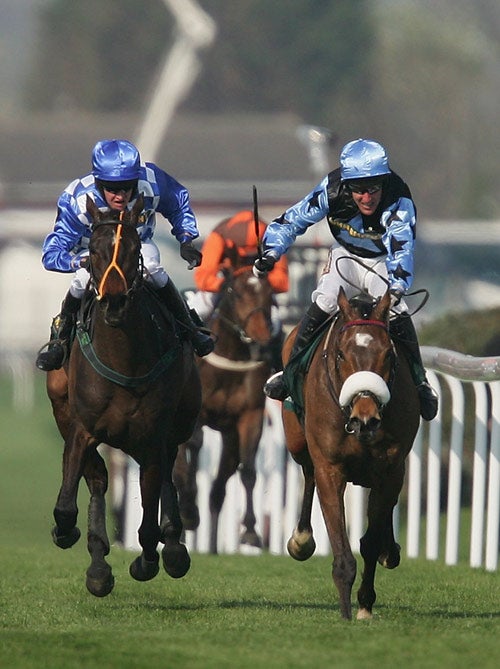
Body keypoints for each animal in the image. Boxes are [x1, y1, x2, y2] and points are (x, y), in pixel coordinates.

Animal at [45, 194, 201, 596]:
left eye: (132, 250)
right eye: (94, 251)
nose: (114, 302)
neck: (124, 360)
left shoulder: (151, 437)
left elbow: (147, 523)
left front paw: (150, 560)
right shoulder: (80, 430)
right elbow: (67, 505)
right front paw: (67, 534)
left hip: (176, 427)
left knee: (167, 476)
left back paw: (173, 548)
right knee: (99, 480)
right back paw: (98, 565)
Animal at [172, 264, 274, 552]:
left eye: (270, 294)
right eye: (235, 293)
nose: (262, 338)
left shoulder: (251, 415)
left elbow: (248, 470)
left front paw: (250, 530)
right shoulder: (196, 415)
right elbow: (191, 454)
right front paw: (188, 510)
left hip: (229, 439)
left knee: (218, 488)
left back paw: (212, 545)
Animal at [284, 284, 420, 620]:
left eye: (388, 354)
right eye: (341, 354)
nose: (365, 419)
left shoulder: (390, 469)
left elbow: (369, 541)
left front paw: (365, 604)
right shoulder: (330, 468)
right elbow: (341, 544)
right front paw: (346, 611)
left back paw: (389, 550)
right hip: (297, 442)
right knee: (307, 473)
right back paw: (301, 540)